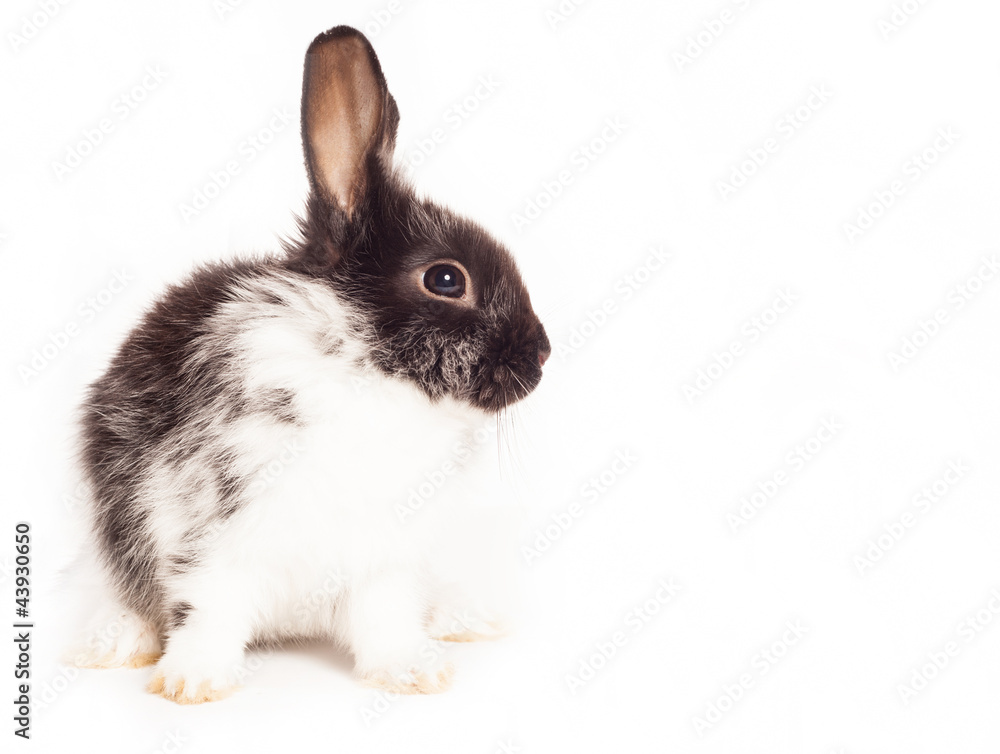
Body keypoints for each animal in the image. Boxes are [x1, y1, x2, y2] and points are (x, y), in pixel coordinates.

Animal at [71, 25, 550, 704]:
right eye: (446, 279)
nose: (541, 354)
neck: (367, 370)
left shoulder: (384, 559)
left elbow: (387, 618)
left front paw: (414, 672)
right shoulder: (214, 538)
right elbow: (210, 611)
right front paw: (193, 683)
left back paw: (464, 617)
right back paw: (112, 642)